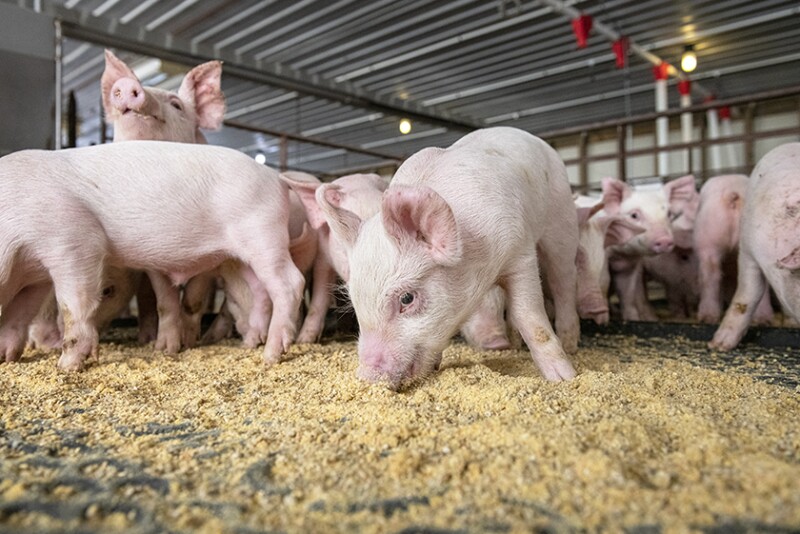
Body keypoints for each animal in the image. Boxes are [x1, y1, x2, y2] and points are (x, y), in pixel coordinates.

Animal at [0, 141, 305, 370]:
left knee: (290, 282)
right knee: (260, 291)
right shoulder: (34, 276)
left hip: (263, 234)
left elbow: (72, 304)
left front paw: (66, 366)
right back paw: (250, 343)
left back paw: (270, 356)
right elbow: (18, 314)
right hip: (241, 257)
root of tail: (276, 178)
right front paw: (6, 357)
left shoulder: (74, 240)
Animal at [310, 127, 580, 389]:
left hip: (562, 221)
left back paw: (570, 346)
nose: (367, 376)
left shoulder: (520, 253)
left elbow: (529, 316)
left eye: (407, 298)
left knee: (564, 280)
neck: (479, 257)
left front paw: (564, 378)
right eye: (354, 299)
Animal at [602, 175, 698, 321]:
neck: (619, 253)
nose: (664, 239)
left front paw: (634, 319)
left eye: (669, 214)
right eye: (634, 215)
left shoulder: (631, 265)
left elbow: (628, 296)